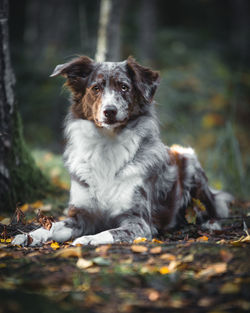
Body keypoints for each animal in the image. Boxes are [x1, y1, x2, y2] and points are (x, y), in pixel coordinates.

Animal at [11, 56, 231, 246]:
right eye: (96, 88)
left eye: (124, 87)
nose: (110, 111)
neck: (107, 145)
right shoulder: (81, 216)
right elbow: (52, 226)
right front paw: (29, 236)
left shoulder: (138, 221)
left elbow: (111, 231)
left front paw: (88, 239)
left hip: (190, 162)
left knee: (214, 206)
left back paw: (211, 223)